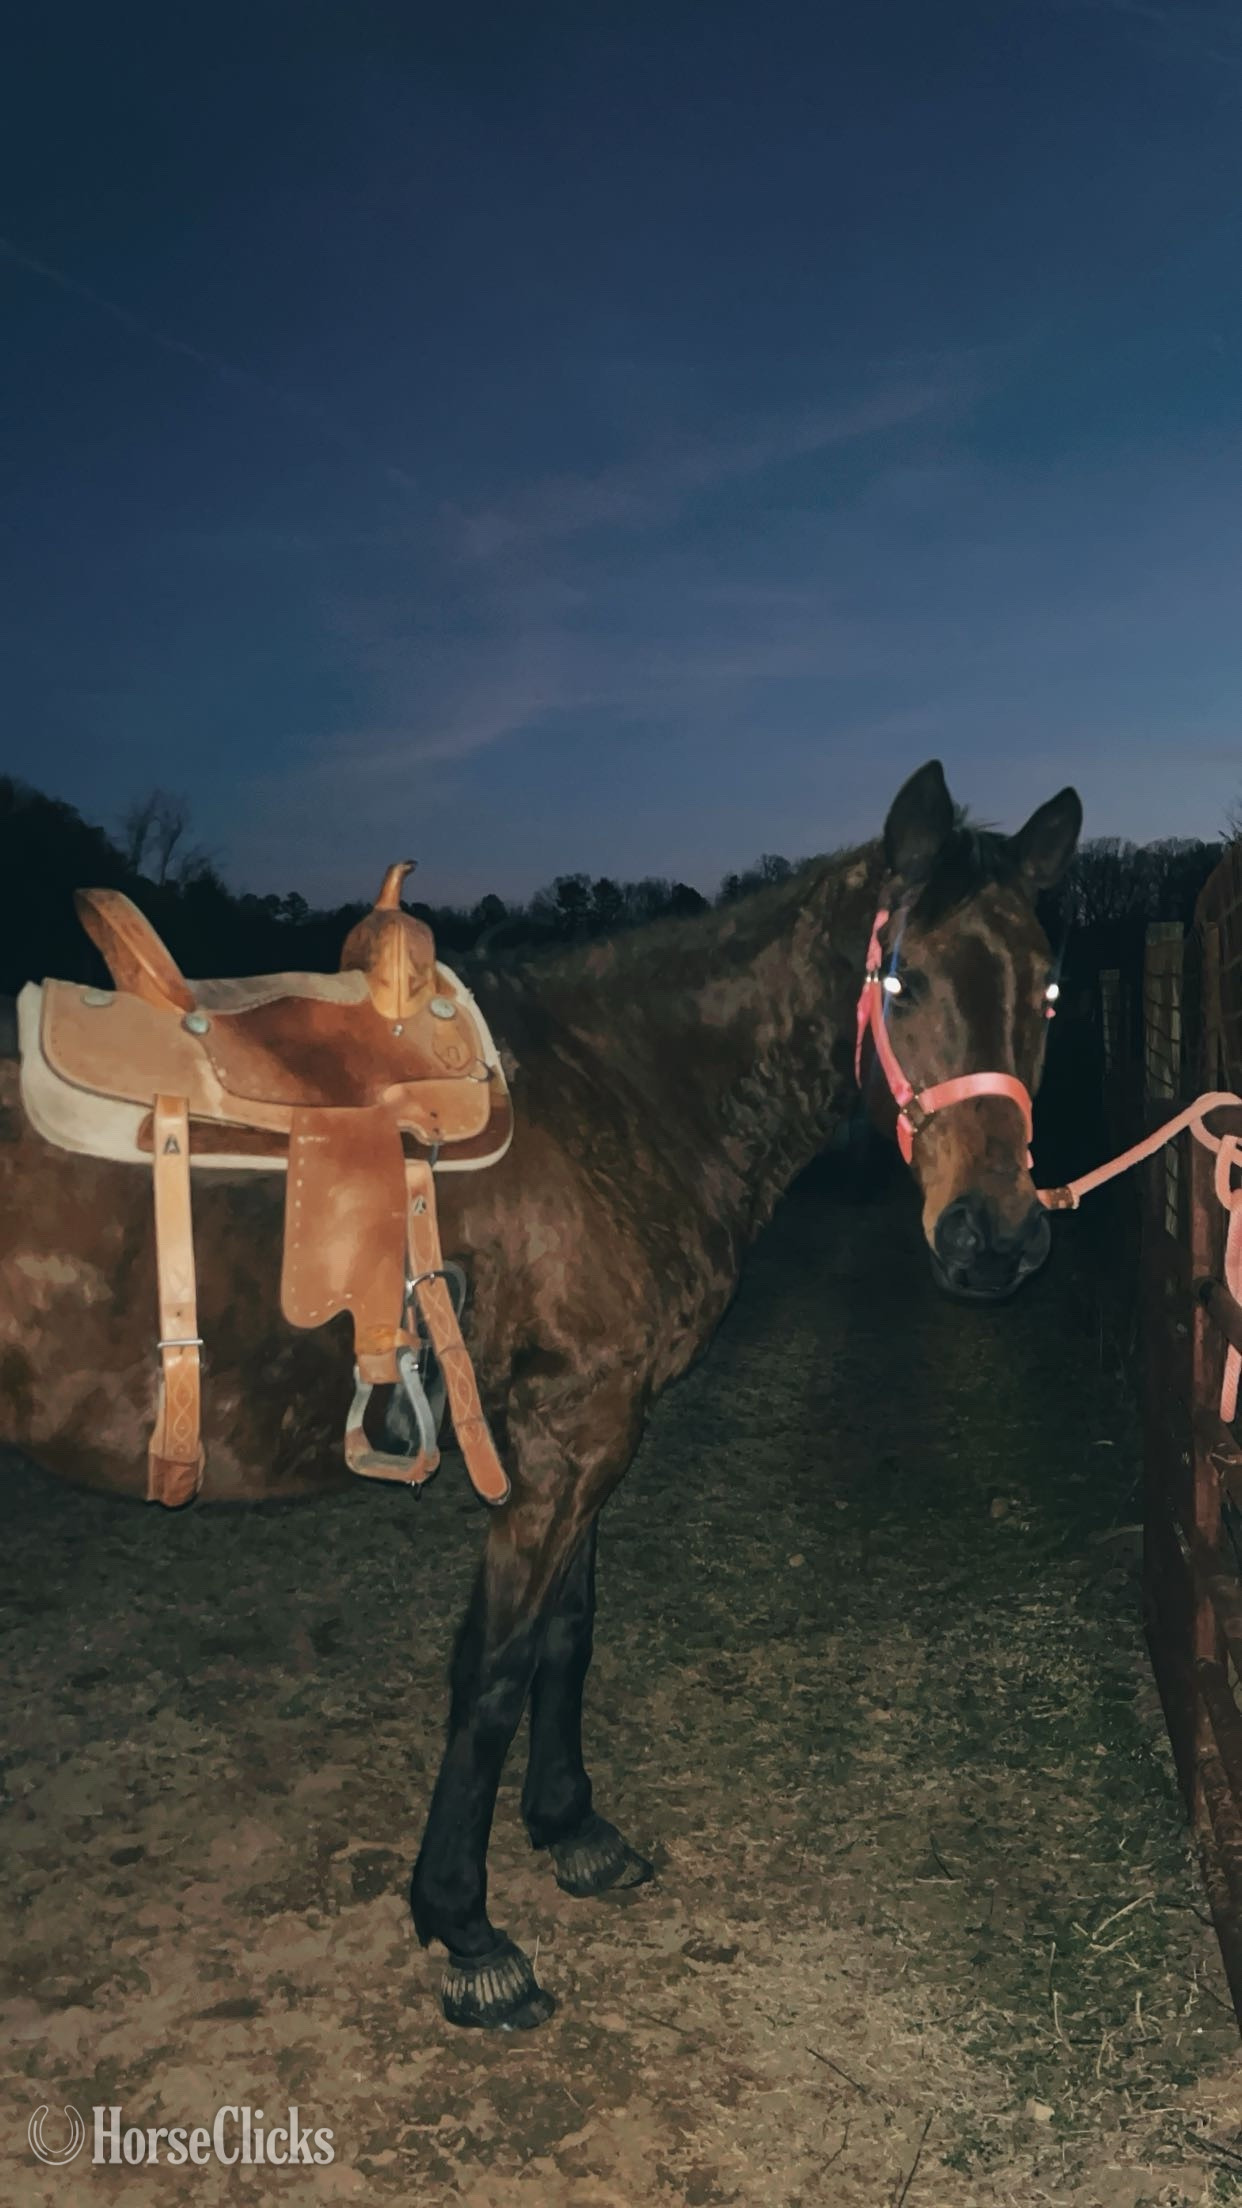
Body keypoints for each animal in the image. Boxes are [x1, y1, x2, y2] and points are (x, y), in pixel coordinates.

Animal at [0, 757, 1081, 2029]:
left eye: (1047, 992)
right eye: (902, 981)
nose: (995, 1242)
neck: (624, 1093)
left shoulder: (591, 1430)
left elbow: (569, 1631)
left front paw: (572, 1830)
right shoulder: (571, 1439)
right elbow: (496, 1669)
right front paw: (465, 1927)